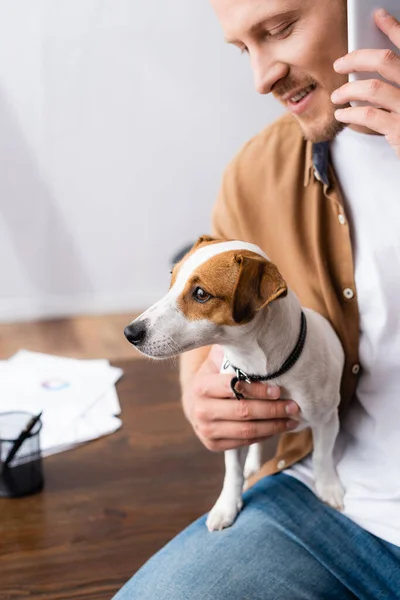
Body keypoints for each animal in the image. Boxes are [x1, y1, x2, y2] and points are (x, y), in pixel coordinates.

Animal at [125, 237, 344, 532]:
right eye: (172, 277)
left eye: (201, 294)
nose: (130, 333)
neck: (263, 372)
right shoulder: (232, 425)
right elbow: (233, 472)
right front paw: (226, 506)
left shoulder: (327, 420)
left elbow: (322, 455)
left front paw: (328, 486)